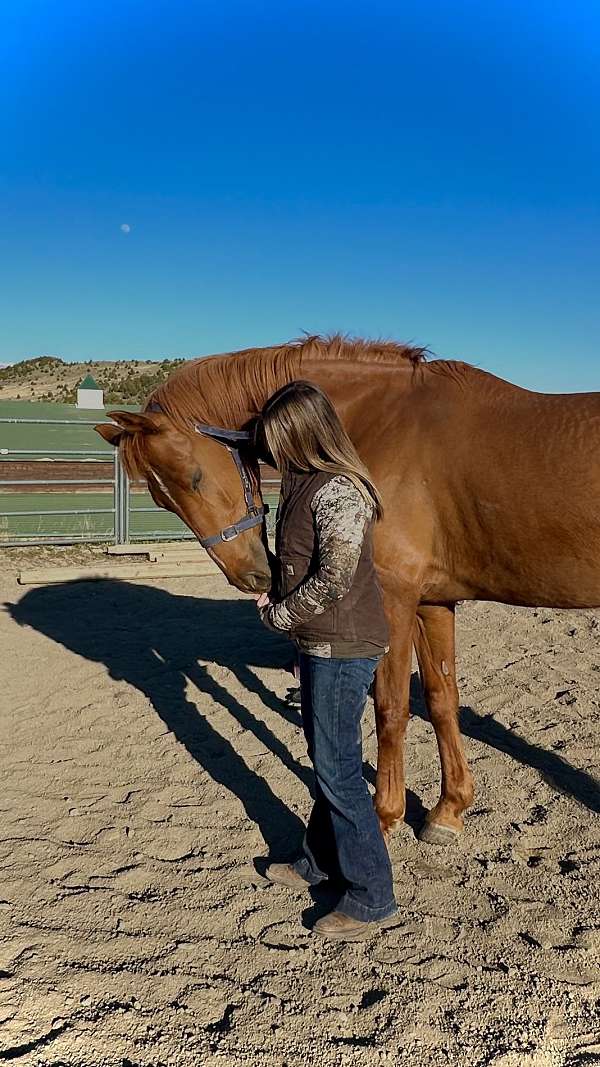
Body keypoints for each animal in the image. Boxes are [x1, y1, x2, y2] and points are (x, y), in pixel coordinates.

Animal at [95, 334, 600, 845]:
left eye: (193, 477)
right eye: (161, 499)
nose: (251, 576)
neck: (381, 423)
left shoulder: (395, 599)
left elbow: (390, 708)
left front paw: (385, 815)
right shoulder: (432, 601)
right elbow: (442, 699)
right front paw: (448, 810)